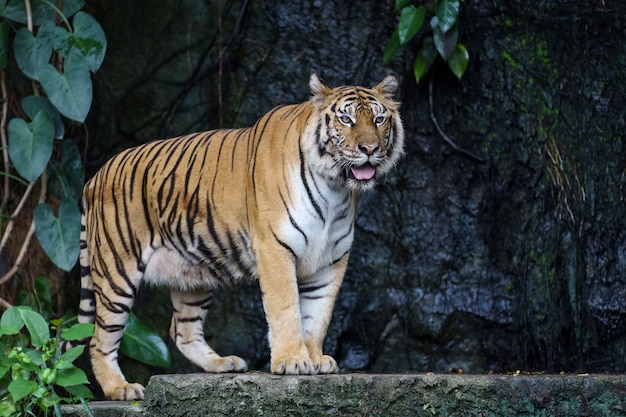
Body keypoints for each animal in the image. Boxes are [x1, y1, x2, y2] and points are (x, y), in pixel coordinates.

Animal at [73, 73, 404, 398]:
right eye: (346, 120)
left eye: (378, 120)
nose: (369, 150)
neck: (334, 189)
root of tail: (93, 177)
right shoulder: (275, 249)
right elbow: (286, 308)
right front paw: (293, 361)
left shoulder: (332, 260)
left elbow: (319, 314)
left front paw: (315, 358)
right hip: (118, 272)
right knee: (99, 339)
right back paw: (121, 388)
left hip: (192, 271)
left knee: (182, 330)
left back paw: (222, 363)